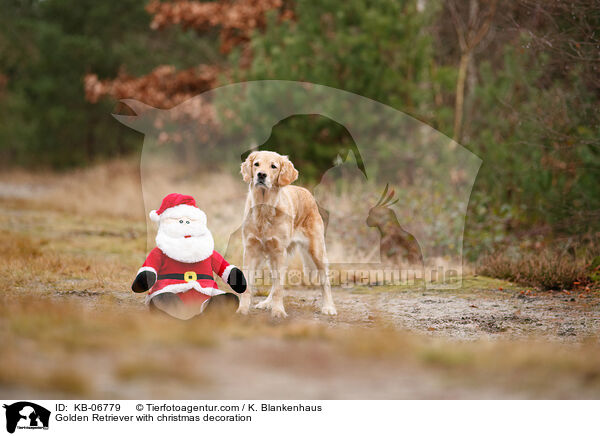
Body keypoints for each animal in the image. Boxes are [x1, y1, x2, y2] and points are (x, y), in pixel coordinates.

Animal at [236, 152, 338, 318]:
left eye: (273, 166)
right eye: (256, 164)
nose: (261, 175)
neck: (264, 209)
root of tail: (307, 192)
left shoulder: (279, 252)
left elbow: (279, 288)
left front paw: (278, 311)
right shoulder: (251, 251)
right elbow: (248, 286)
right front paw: (242, 310)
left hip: (317, 251)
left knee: (325, 281)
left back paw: (328, 307)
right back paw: (266, 303)